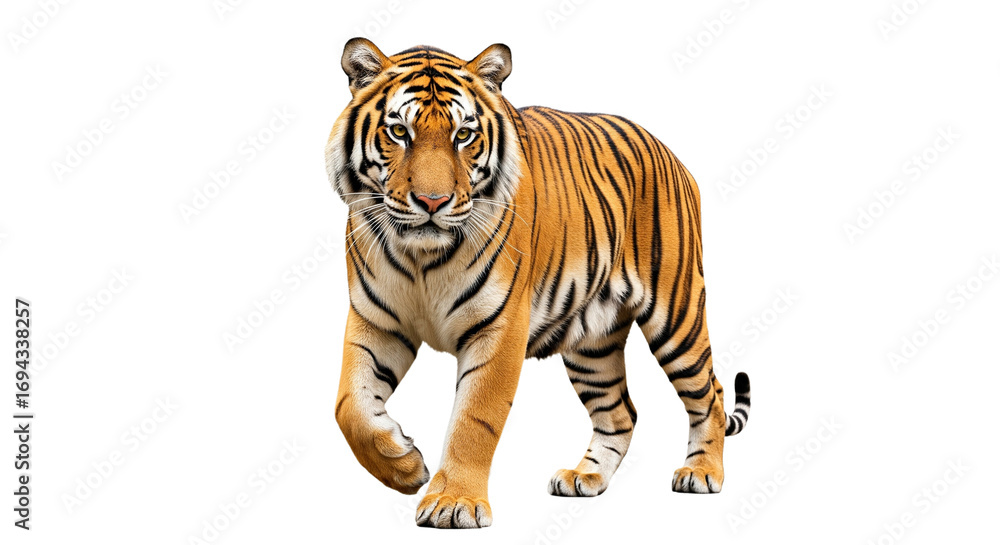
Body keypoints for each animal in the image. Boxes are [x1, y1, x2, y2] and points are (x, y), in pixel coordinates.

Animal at [325, 38, 751, 529]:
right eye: (399, 132)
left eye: (463, 135)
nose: (433, 202)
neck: (422, 258)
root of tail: (670, 153)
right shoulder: (375, 322)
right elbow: (349, 406)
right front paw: (404, 463)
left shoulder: (499, 329)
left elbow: (475, 418)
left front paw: (454, 502)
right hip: (592, 344)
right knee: (621, 412)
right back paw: (585, 477)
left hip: (676, 315)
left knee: (711, 394)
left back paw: (701, 472)